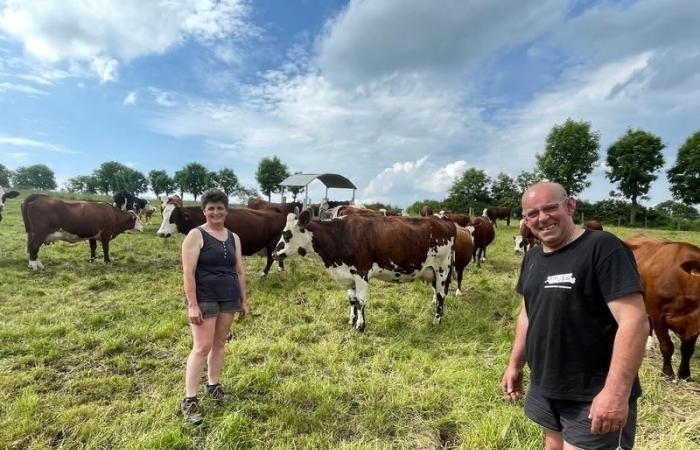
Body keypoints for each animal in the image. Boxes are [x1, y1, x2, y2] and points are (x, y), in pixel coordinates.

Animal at [157, 200, 286, 276]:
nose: (160, 233)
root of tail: (274, 210)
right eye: (163, 215)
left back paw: (264, 273)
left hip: (273, 242)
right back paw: (280, 269)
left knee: (271, 258)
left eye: (173, 218)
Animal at [270, 210, 456, 330]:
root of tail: (444, 222)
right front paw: (351, 321)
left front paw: (361, 326)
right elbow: (352, 301)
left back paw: (437, 321)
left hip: (442, 269)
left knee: (441, 296)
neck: (340, 236)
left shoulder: (362, 274)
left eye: (286, 234)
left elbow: (361, 302)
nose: (273, 253)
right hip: (432, 272)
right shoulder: (348, 276)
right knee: (438, 295)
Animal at [624, 236, 700, 380]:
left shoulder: (695, 323)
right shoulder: (657, 315)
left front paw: (684, 374)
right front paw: (667, 373)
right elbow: (666, 346)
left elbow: (687, 349)